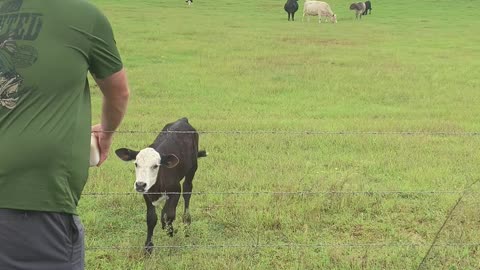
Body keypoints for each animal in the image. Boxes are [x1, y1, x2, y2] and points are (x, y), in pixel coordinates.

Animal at [116, 117, 208, 253]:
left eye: (155, 166)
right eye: (136, 164)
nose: (140, 185)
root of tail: (183, 120)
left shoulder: (175, 190)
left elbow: (168, 214)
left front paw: (170, 231)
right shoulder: (147, 194)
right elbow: (151, 218)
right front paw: (148, 247)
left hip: (192, 168)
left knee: (187, 191)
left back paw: (186, 222)